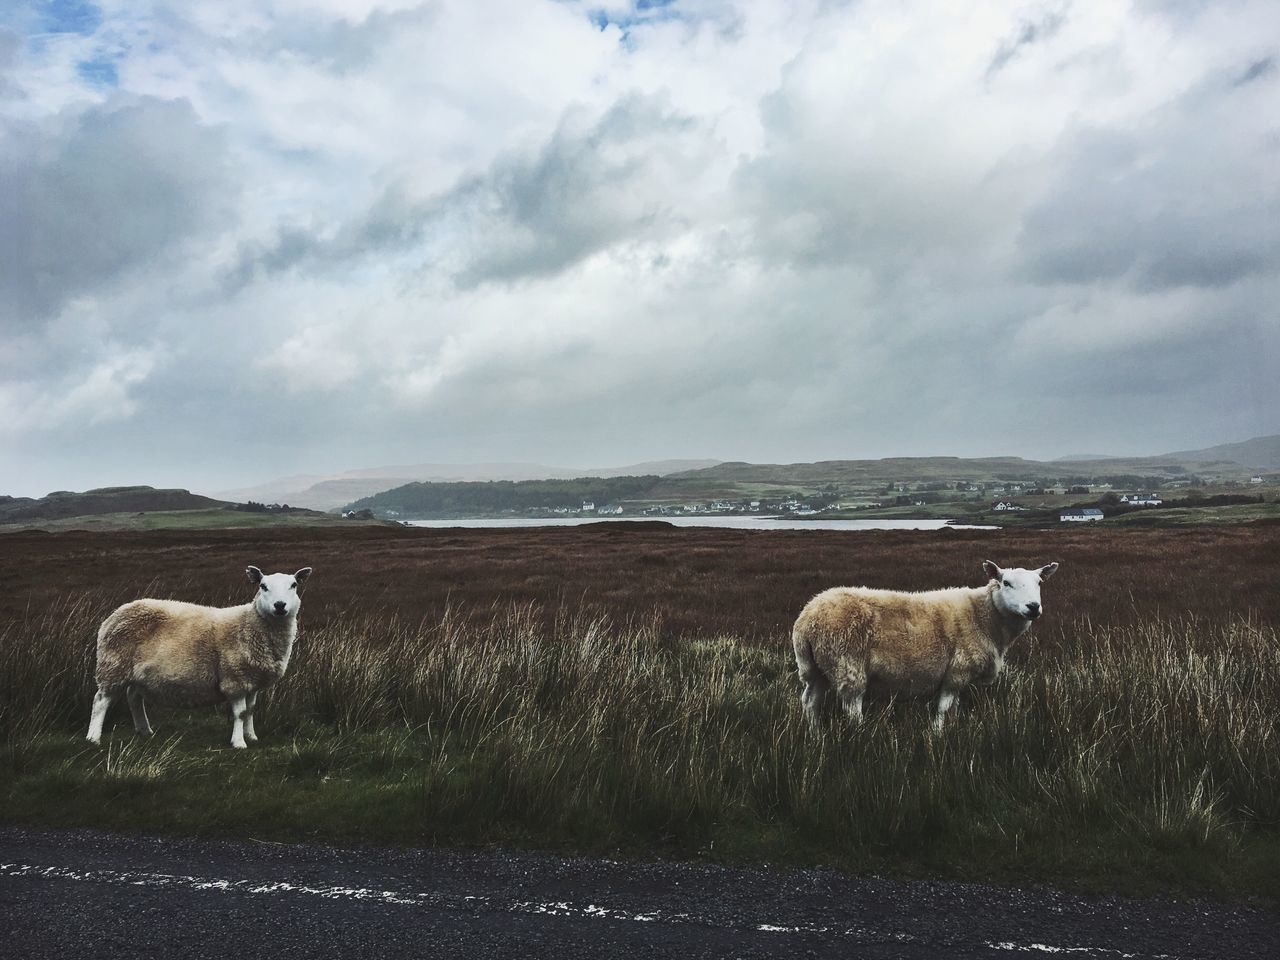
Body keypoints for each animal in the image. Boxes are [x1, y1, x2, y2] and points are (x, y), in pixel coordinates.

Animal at [86, 563, 313, 752]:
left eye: (293, 585)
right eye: (263, 586)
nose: (280, 605)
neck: (251, 625)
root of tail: (115, 613)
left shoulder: (252, 680)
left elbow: (250, 711)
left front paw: (252, 736)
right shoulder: (235, 678)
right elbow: (240, 713)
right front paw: (239, 742)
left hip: (136, 672)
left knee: (133, 697)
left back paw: (144, 730)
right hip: (114, 665)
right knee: (100, 701)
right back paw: (93, 738)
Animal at [788, 560, 1059, 732]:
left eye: (1039, 583)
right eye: (1006, 583)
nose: (1033, 607)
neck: (983, 616)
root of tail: (807, 618)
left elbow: (954, 709)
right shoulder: (956, 672)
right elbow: (943, 710)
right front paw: (938, 737)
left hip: (815, 668)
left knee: (810, 702)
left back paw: (815, 736)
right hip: (847, 665)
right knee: (852, 708)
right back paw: (860, 735)